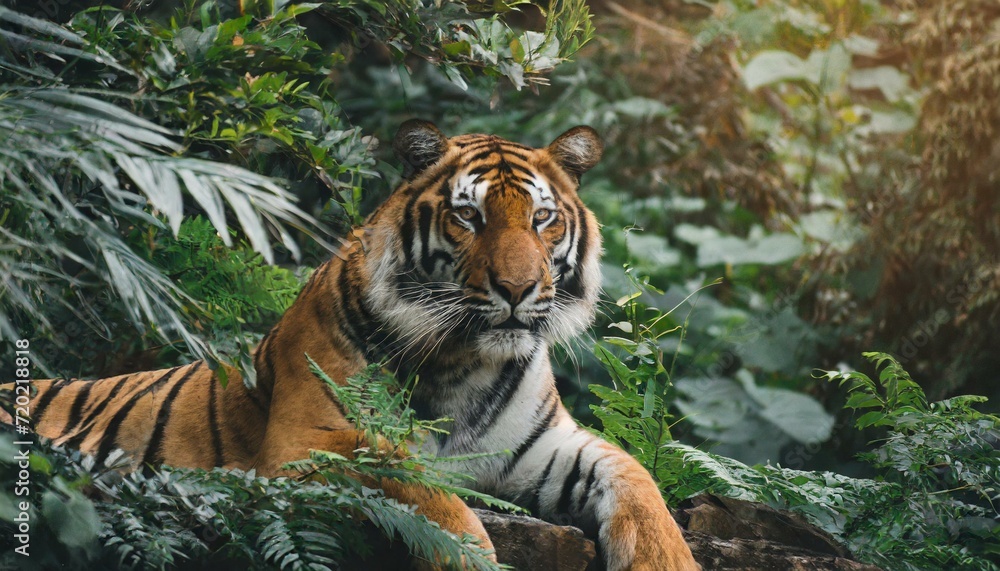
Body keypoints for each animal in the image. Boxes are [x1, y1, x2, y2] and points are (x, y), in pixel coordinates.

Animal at [4, 121, 700, 571]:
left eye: (542, 218)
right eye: (468, 216)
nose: (517, 288)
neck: (467, 361)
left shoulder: (548, 446)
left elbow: (640, 483)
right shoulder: (306, 443)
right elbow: (416, 484)